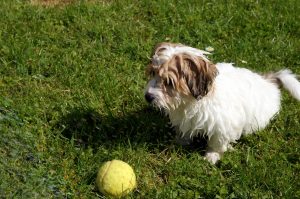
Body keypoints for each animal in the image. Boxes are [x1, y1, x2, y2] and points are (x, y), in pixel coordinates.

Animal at [144, 42, 298, 163]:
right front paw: (181, 141)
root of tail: (268, 82)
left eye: (169, 82)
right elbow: (184, 129)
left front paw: (212, 155)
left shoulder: (224, 123)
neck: (190, 101)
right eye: (153, 73)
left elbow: (217, 141)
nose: (148, 96)